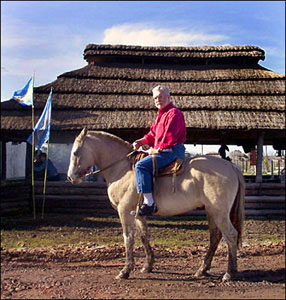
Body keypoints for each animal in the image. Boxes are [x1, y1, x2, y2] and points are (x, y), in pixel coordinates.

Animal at [67, 128, 246, 282]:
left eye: (75, 152)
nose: (70, 177)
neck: (122, 169)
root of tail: (232, 167)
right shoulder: (137, 214)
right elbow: (144, 236)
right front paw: (148, 265)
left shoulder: (124, 211)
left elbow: (128, 238)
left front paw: (125, 270)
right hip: (211, 211)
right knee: (215, 236)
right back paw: (202, 269)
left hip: (219, 212)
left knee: (231, 235)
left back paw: (229, 273)